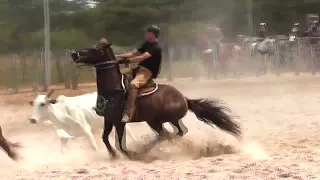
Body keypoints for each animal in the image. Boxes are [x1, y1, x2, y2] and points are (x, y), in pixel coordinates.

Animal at [69, 39, 240, 159]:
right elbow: (104, 138)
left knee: (173, 134)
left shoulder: (119, 122)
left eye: (95, 49)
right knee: (169, 134)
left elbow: (121, 145)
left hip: (164, 120)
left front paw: (132, 154)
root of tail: (184, 98)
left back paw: (147, 148)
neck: (114, 90)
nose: (74, 53)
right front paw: (113, 155)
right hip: (156, 121)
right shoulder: (108, 120)